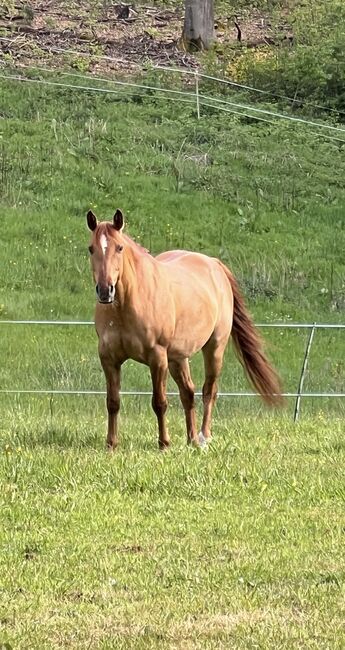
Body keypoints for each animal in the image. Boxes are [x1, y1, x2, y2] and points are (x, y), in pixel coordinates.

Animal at [86, 210, 282, 448]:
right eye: (91, 248)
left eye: (120, 247)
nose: (105, 290)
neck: (130, 302)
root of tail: (214, 263)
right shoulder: (109, 358)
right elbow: (113, 402)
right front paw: (111, 444)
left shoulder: (157, 357)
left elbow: (159, 402)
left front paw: (164, 444)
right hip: (178, 358)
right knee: (188, 392)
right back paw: (191, 439)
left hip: (214, 348)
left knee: (209, 390)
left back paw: (204, 436)